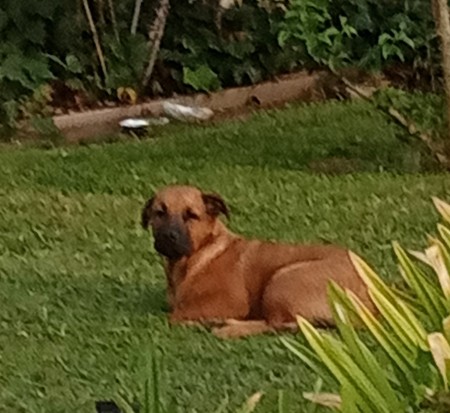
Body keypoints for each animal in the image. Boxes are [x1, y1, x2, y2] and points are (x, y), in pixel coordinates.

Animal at [142, 185, 374, 336]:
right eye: (160, 213)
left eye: (191, 215)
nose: (168, 236)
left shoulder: (230, 300)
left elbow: (175, 316)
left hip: (283, 278)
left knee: (282, 324)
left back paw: (227, 328)